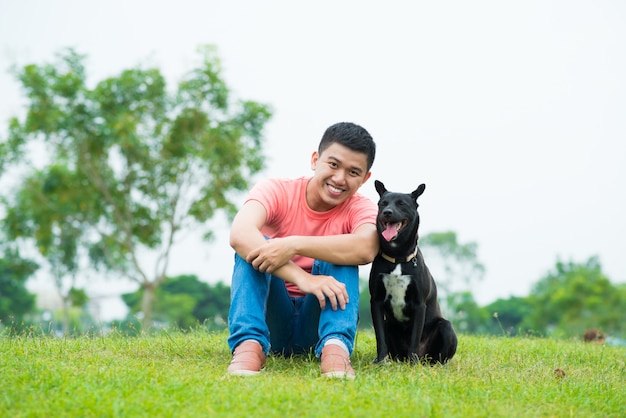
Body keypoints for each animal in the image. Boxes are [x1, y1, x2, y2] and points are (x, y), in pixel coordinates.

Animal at [368, 181, 456, 364]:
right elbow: (380, 337)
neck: (398, 257)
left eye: (402, 204)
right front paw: (380, 361)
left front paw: (412, 362)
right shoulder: (376, 301)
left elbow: (415, 336)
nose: (387, 213)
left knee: (440, 356)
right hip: (389, 326)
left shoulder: (419, 304)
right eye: (383, 204)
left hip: (446, 327)